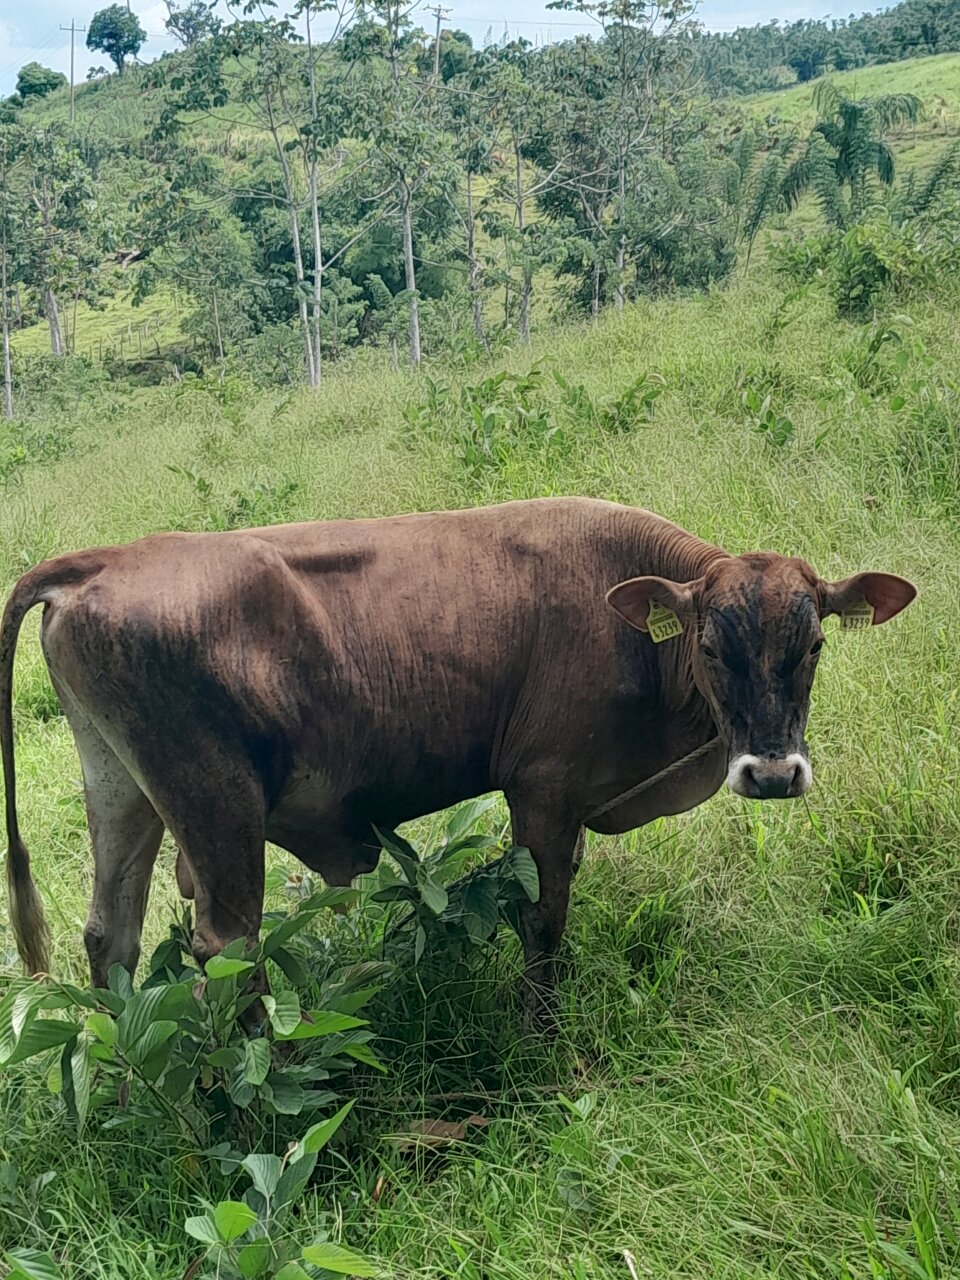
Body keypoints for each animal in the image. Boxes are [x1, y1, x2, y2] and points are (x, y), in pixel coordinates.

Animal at [1, 498, 916, 1024]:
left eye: (815, 645)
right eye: (713, 647)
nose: (772, 774)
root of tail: (105, 558)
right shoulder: (543, 789)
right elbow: (542, 919)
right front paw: (541, 1034)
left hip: (121, 791)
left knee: (110, 935)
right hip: (215, 808)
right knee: (228, 949)